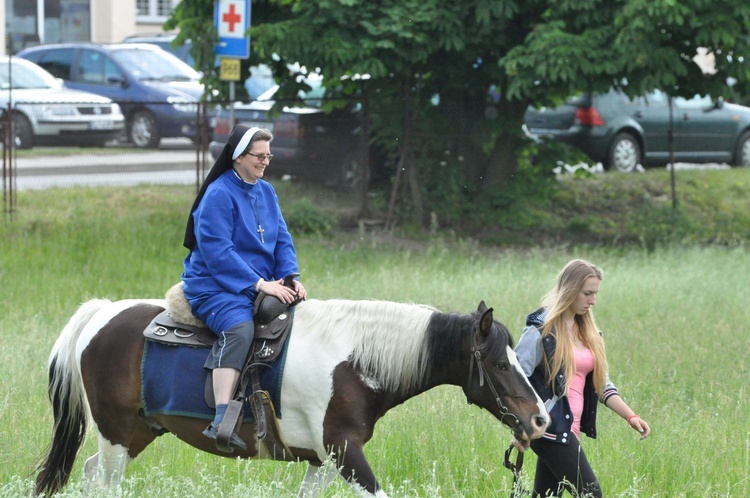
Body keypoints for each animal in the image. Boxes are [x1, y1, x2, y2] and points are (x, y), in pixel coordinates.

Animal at [35, 298, 548, 496]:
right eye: (501, 365)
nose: (540, 420)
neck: (355, 362)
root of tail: (103, 312)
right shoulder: (346, 454)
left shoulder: (322, 461)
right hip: (117, 433)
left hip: (136, 432)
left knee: (91, 472)